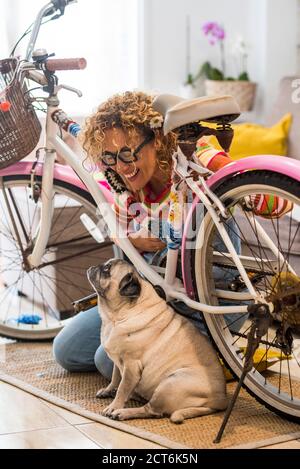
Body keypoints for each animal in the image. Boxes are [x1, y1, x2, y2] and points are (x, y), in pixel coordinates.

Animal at [87, 258, 227, 422]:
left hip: (170, 383)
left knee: (151, 411)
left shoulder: (131, 365)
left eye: (107, 270)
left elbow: (123, 387)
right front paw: (109, 390)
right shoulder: (118, 360)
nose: (93, 266)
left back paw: (123, 412)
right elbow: (115, 378)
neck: (115, 318)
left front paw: (114, 406)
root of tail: (220, 400)